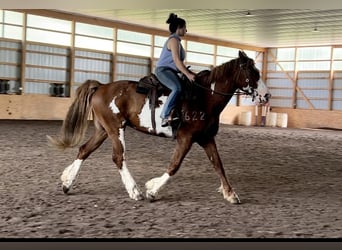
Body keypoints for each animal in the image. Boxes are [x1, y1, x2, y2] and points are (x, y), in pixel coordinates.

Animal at [47, 50, 270, 203]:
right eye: (252, 71)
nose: (266, 95)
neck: (203, 97)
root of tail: (101, 87)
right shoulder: (186, 138)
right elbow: (174, 165)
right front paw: (152, 190)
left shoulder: (206, 138)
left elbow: (218, 165)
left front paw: (231, 194)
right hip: (115, 129)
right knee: (118, 157)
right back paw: (134, 191)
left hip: (104, 130)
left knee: (84, 150)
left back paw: (67, 183)